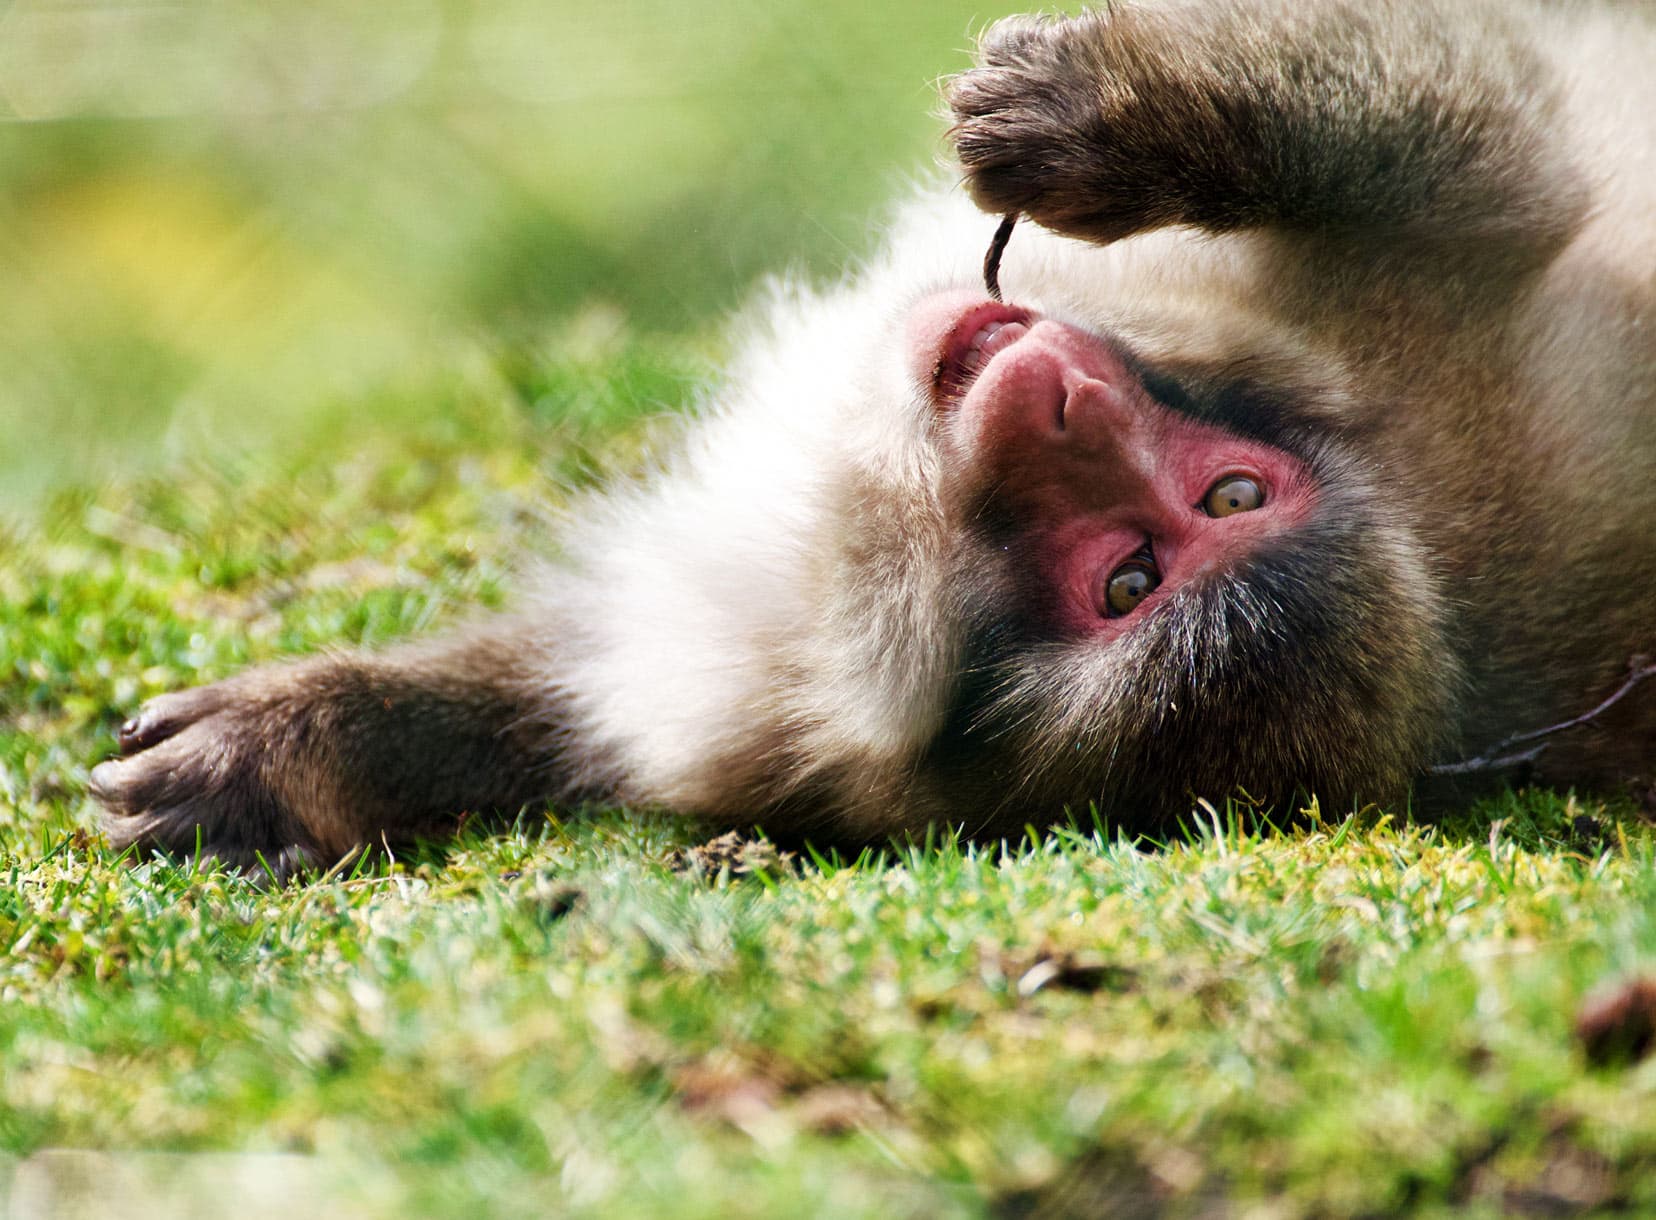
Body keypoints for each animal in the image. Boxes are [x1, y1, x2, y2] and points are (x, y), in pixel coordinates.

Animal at [90, 2, 1656, 874]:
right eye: (1222, 497)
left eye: (1128, 577)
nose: (1064, 399)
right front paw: (309, 744)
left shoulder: (1441, 377)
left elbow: (1493, 141)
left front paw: (1114, 117)